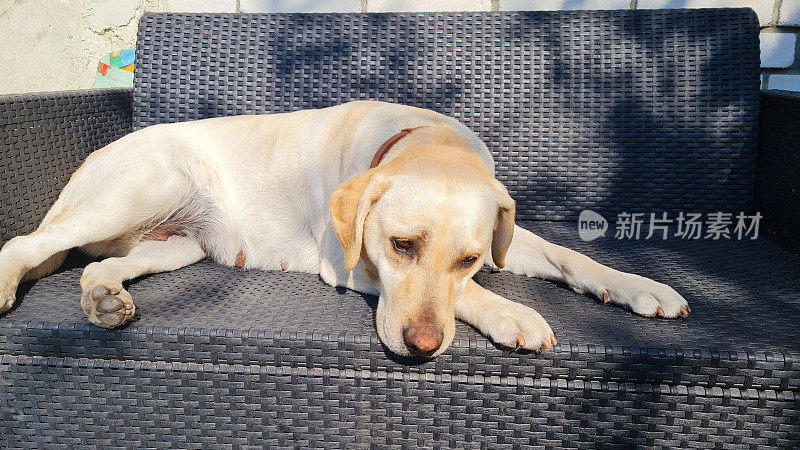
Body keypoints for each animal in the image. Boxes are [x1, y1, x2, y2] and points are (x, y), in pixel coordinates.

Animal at [0, 100, 688, 356]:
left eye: (469, 257)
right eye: (400, 245)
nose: (423, 345)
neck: (422, 139)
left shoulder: (503, 236)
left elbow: (571, 258)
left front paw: (640, 286)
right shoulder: (350, 263)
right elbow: (468, 299)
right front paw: (512, 314)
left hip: (178, 245)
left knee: (97, 263)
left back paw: (104, 297)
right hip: (147, 186)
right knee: (27, 243)